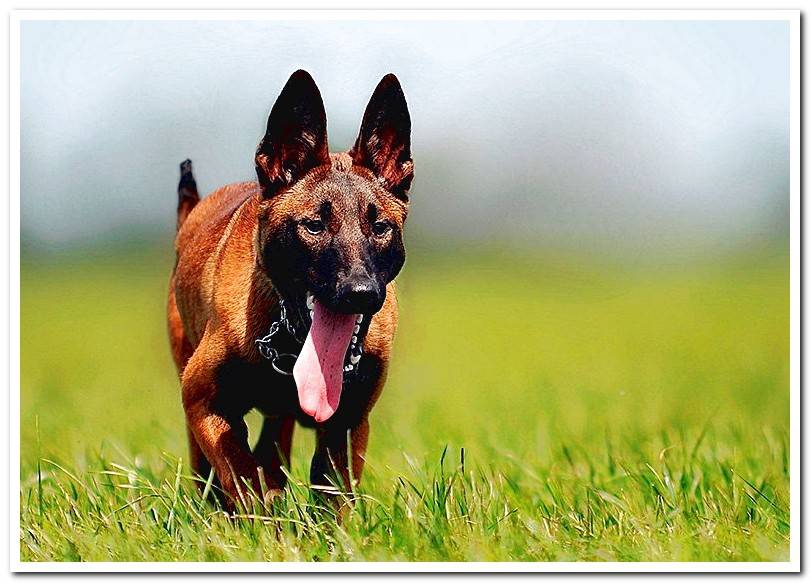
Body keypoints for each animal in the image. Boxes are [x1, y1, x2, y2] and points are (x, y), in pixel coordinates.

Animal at [169, 70, 416, 508]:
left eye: (379, 227)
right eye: (314, 226)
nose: (360, 292)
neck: (290, 339)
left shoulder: (347, 424)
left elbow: (329, 491)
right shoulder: (203, 400)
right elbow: (240, 472)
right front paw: (258, 519)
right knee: (210, 472)